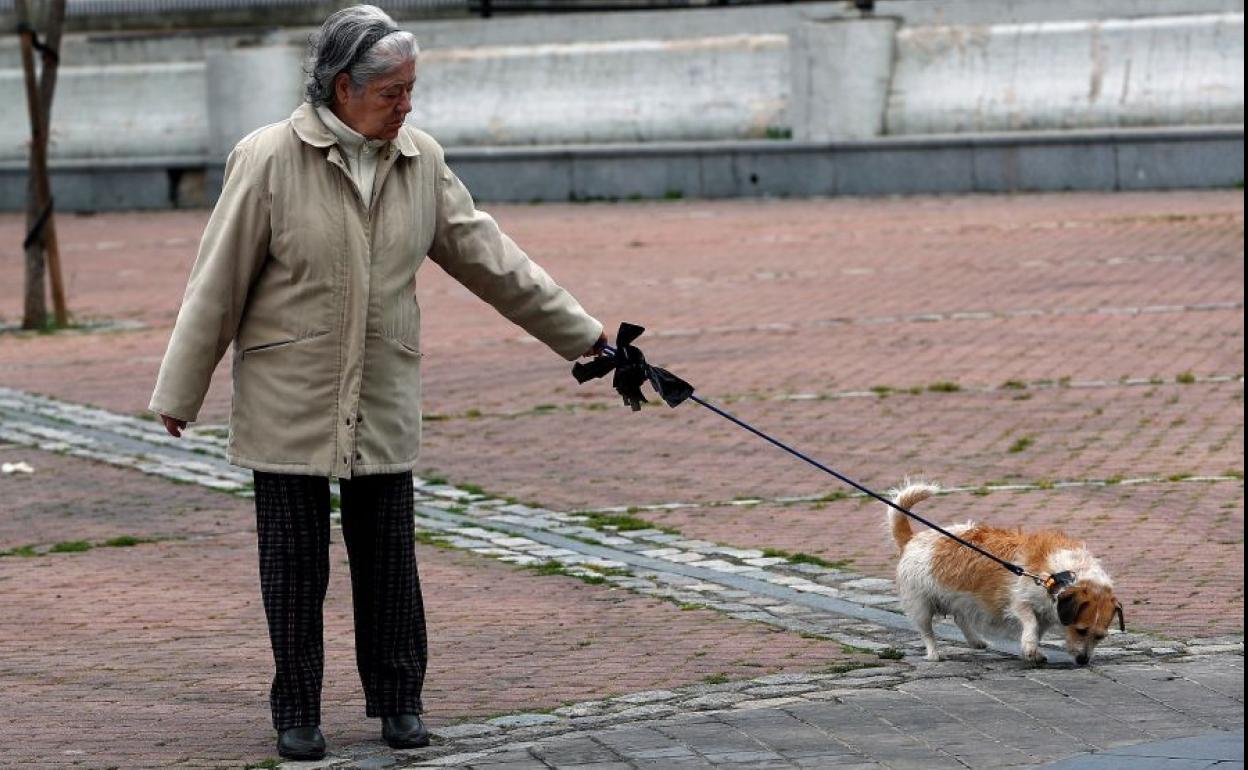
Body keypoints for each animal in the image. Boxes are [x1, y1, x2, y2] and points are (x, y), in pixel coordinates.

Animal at [883, 484, 1128, 663]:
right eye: (1081, 630)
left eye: (1099, 636)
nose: (1083, 661)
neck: (1060, 575)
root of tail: (913, 539)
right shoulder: (1019, 602)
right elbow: (1030, 623)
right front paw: (1029, 647)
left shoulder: (1046, 614)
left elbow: (1038, 631)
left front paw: (1033, 649)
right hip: (920, 603)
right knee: (926, 630)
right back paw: (934, 654)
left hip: (960, 599)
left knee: (960, 617)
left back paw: (976, 641)